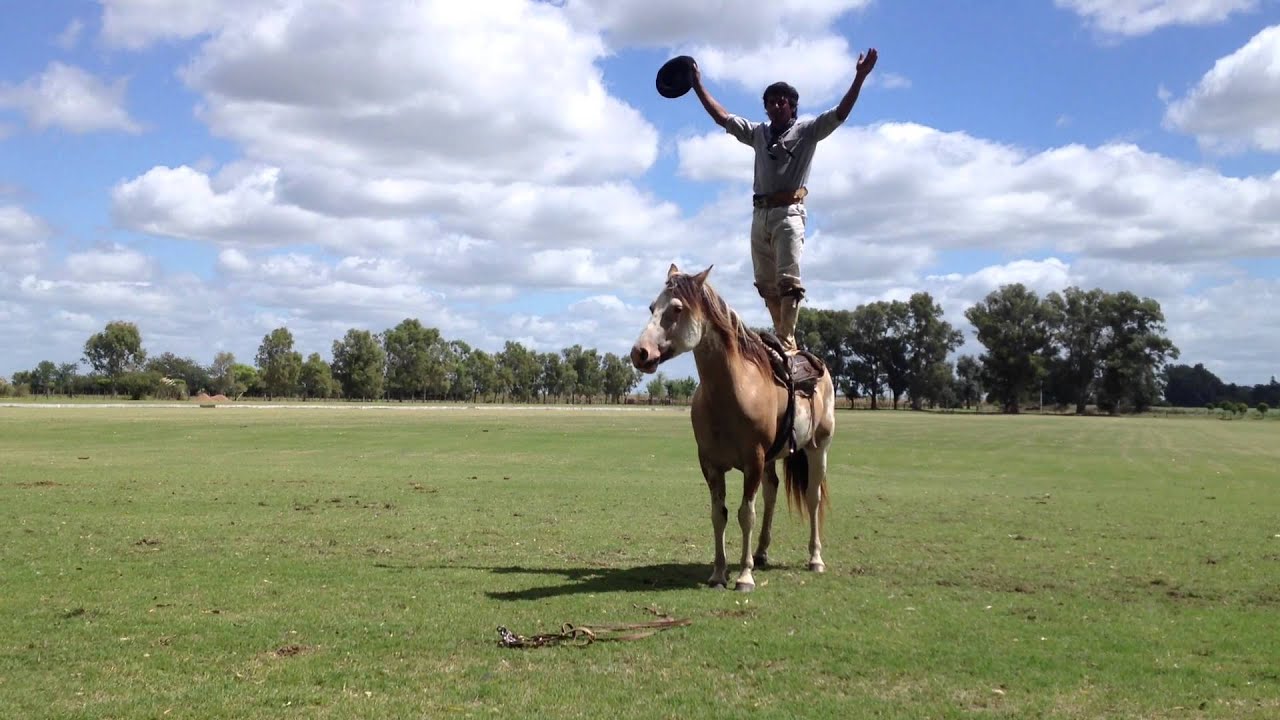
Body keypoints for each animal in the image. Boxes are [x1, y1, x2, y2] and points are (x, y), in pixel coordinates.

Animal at [630, 264, 837, 592]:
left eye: (677, 308)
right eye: (652, 307)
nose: (640, 353)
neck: (732, 392)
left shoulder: (753, 462)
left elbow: (745, 514)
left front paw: (744, 576)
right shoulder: (711, 465)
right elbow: (720, 514)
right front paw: (718, 573)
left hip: (818, 449)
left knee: (812, 497)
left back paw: (814, 559)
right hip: (772, 458)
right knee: (772, 491)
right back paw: (761, 553)